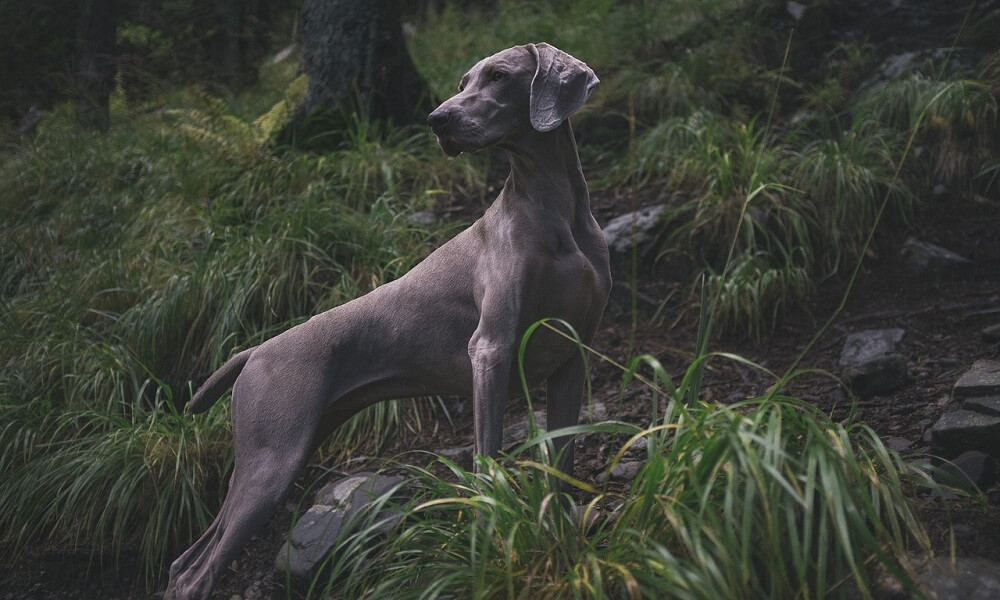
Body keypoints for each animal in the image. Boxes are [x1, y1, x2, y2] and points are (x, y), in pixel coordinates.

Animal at [166, 43, 608, 600]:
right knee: (196, 573)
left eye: (499, 77)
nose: (436, 119)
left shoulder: (573, 356)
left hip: (281, 450)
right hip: (269, 463)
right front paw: (492, 535)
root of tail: (254, 351)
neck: (554, 207)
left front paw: (563, 540)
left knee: (185, 561)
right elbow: (487, 459)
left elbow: (562, 465)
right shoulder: (491, 348)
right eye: (463, 82)